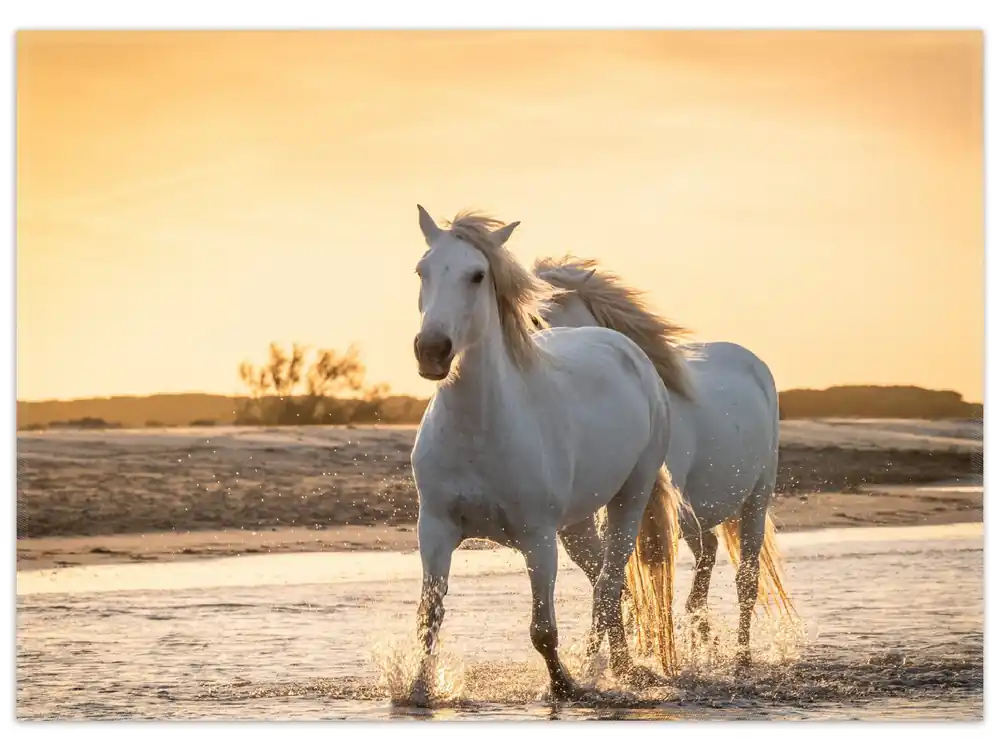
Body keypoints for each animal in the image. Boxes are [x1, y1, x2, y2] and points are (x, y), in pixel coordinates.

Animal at [407, 207, 683, 705]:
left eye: (477, 275)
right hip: (576, 525)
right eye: (422, 270)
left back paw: (605, 671)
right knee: (607, 584)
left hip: (629, 498)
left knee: (610, 585)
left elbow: (543, 630)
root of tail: (626, 348)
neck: (480, 431)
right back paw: (617, 666)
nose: (432, 351)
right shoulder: (435, 530)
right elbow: (428, 619)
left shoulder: (537, 539)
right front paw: (418, 691)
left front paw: (564, 686)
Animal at [533, 256, 795, 670]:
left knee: (746, 578)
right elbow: (608, 579)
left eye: (540, 318)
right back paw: (706, 643)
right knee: (706, 560)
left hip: (756, 496)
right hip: (699, 513)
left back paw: (741, 656)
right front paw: (597, 660)